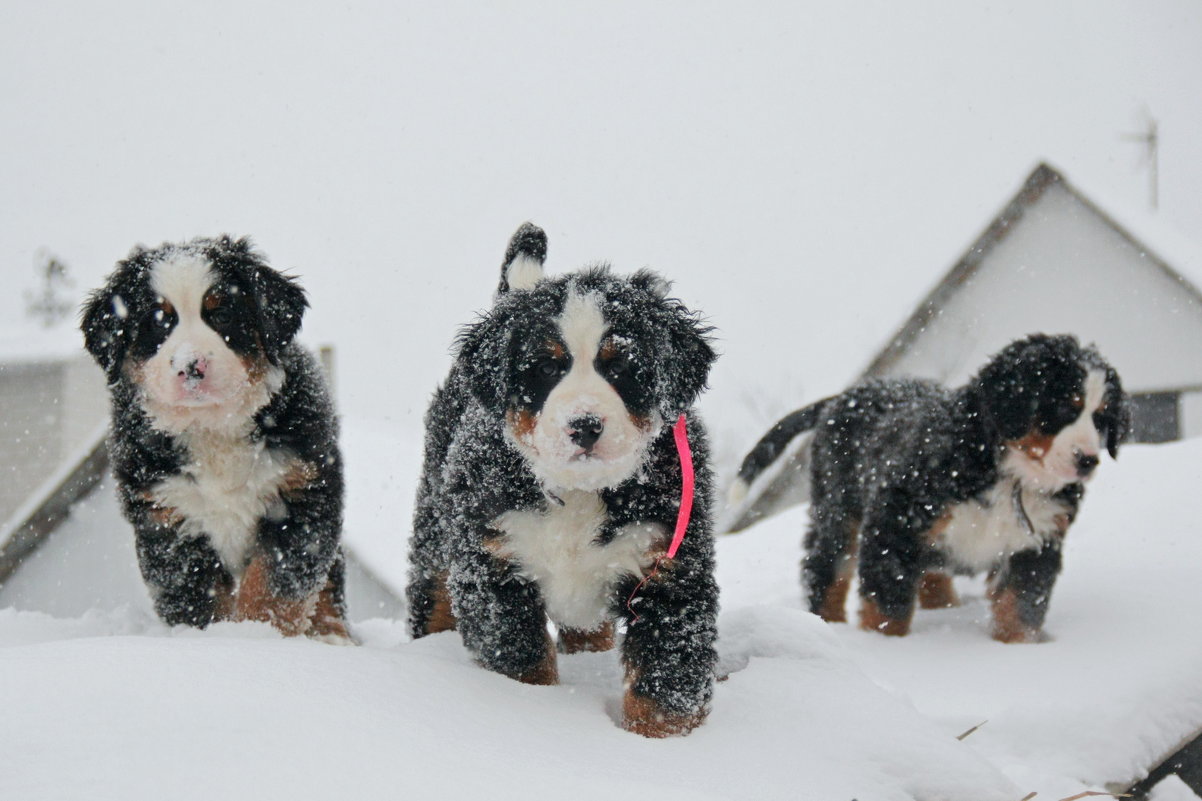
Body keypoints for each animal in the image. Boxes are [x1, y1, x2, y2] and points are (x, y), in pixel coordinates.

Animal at [81, 234, 348, 639]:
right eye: (158, 322)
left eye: (222, 314)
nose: (192, 366)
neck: (212, 427)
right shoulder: (168, 516)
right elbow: (198, 600)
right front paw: (212, 641)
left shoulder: (301, 494)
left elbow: (272, 588)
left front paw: (255, 635)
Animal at [408, 221, 716, 731]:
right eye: (547, 366)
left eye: (622, 367)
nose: (585, 425)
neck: (579, 493)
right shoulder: (493, 563)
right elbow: (521, 661)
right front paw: (541, 711)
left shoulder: (669, 565)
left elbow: (665, 681)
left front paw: (657, 739)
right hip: (436, 529)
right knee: (431, 594)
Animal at [726, 334, 1129, 639]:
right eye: (1063, 408)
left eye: (1101, 417)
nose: (1088, 461)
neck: (1006, 473)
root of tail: (844, 396)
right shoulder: (893, 522)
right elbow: (888, 605)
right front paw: (885, 646)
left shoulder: (1036, 542)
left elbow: (1022, 604)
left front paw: (1015, 649)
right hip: (839, 508)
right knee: (826, 568)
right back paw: (827, 628)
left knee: (930, 571)